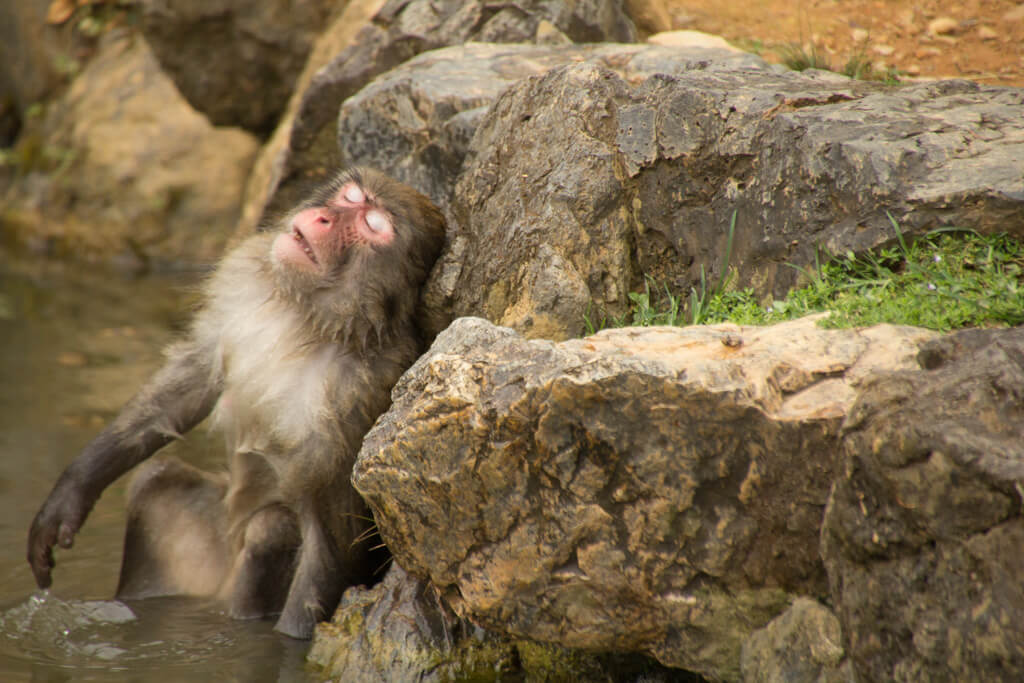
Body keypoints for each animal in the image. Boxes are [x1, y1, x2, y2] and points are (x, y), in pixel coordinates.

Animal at [24, 166, 444, 643]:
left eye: (371, 226)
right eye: (350, 198)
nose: (323, 220)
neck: (307, 319)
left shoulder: (357, 400)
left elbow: (330, 541)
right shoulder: (241, 286)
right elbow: (190, 381)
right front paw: (69, 496)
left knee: (270, 528)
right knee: (156, 477)